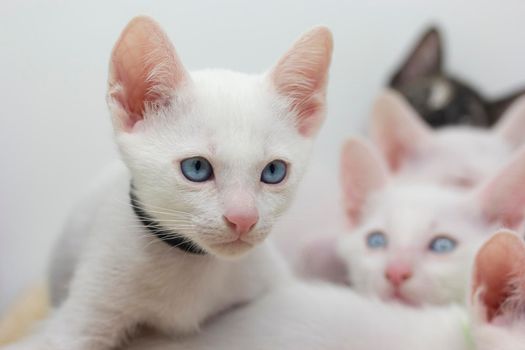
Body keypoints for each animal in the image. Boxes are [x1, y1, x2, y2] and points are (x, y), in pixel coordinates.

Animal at [2, 16, 332, 350]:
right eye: (196, 168)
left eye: (274, 171)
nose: (243, 218)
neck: (191, 262)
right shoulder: (80, 317)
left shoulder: (274, 285)